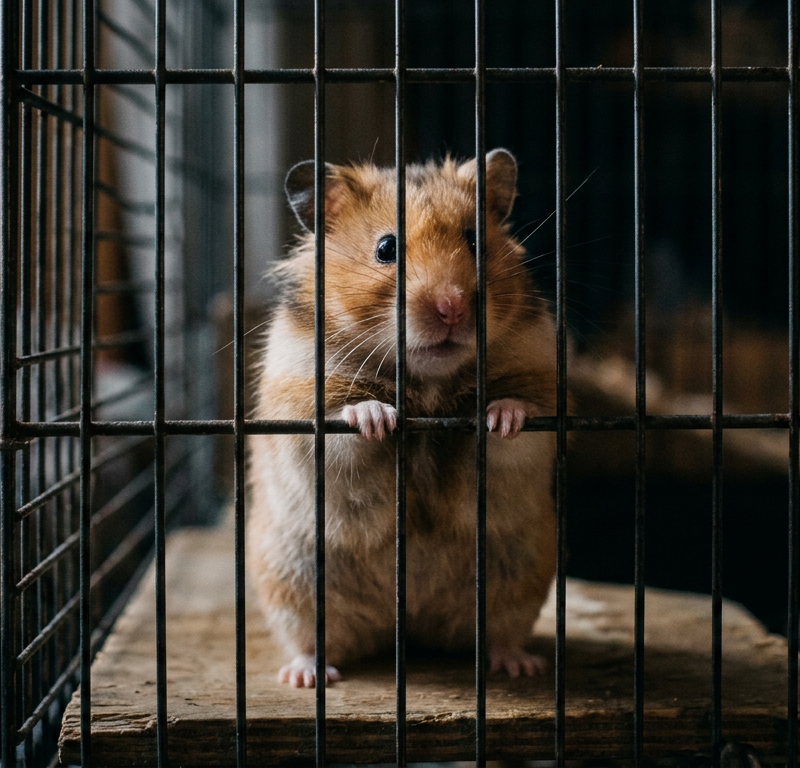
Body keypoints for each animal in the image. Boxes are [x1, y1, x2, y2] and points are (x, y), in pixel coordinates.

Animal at [246, 149, 557, 688]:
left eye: (474, 239)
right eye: (386, 248)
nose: (451, 307)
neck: (427, 386)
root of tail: (407, 628)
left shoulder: (542, 396)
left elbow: (518, 428)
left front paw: (502, 416)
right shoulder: (299, 410)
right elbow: (343, 428)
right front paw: (376, 416)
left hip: (519, 575)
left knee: (500, 634)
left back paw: (520, 666)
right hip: (293, 578)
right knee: (312, 640)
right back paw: (306, 677)